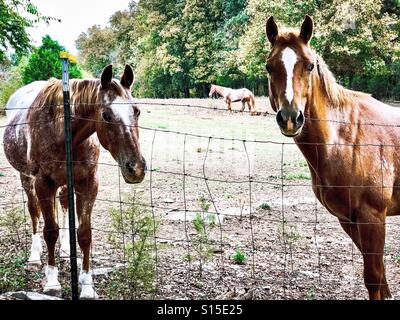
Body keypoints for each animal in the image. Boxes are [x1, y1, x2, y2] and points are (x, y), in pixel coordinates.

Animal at [2, 63, 146, 298]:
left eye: (137, 111)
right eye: (106, 115)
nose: (136, 168)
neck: (64, 133)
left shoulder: (88, 183)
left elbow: (84, 234)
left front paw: (87, 286)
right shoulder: (44, 183)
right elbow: (49, 231)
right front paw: (52, 282)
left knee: (63, 205)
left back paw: (65, 249)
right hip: (26, 178)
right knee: (34, 212)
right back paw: (34, 257)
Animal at [266, 15, 400, 300]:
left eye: (309, 65)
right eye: (269, 67)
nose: (291, 118)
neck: (346, 137)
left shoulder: (373, 217)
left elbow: (374, 278)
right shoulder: (348, 219)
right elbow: (382, 278)